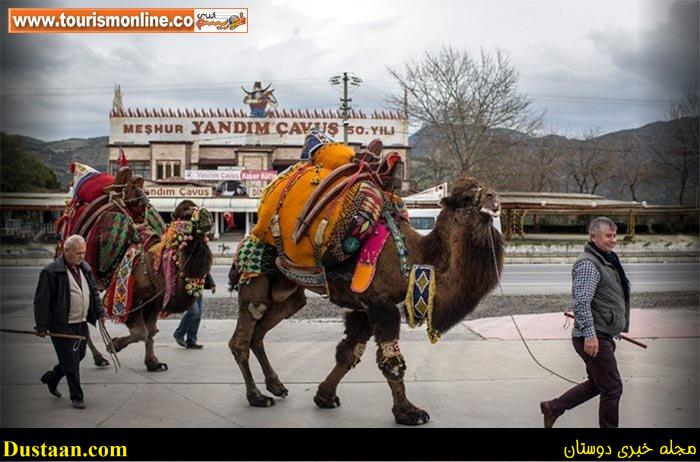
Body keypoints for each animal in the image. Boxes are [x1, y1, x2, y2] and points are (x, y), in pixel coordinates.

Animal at [230, 175, 504, 424]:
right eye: (467, 198)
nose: (494, 198)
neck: (415, 257)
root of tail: (253, 231)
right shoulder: (379, 303)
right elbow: (391, 362)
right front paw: (409, 412)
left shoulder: (364, 308)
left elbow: (348, 353)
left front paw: (325, 396)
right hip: (256, 281)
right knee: (242, 337)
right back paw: (257, 396)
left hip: (289, 294)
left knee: (260, 333)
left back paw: (276, 386)